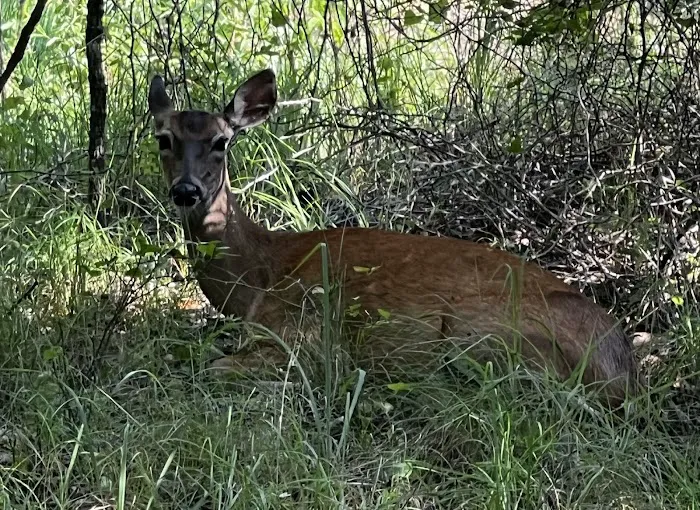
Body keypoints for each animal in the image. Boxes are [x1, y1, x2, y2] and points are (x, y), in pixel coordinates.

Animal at [147, 69, 638, 407]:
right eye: (163, 138)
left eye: (222, 141)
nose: (187, 190)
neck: (258, 275)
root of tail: (623, 373)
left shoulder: (306, 336)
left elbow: (215, 367)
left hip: (478, 335)